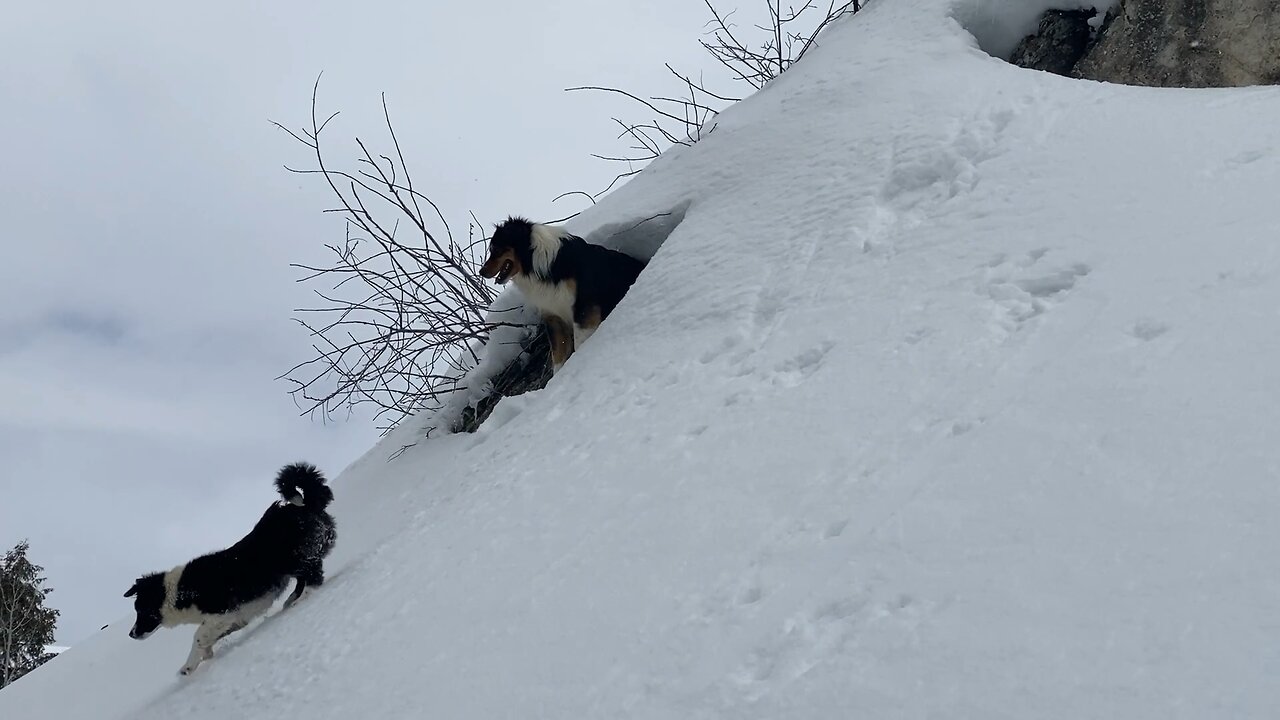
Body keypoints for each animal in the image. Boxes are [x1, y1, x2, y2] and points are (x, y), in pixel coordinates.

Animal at [123, 458, 335, 671]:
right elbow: (211, 637)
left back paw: (302, 598)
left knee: (313, 576)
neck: (179, 591)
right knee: (304, 579)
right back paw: (291, 600)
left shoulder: (222, 612)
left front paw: (191, 664)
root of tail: (305, 505)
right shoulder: (234, 617)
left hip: (292, 560)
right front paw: (197, 661)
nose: (131, 634)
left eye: (141, 610)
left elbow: (199, 636)